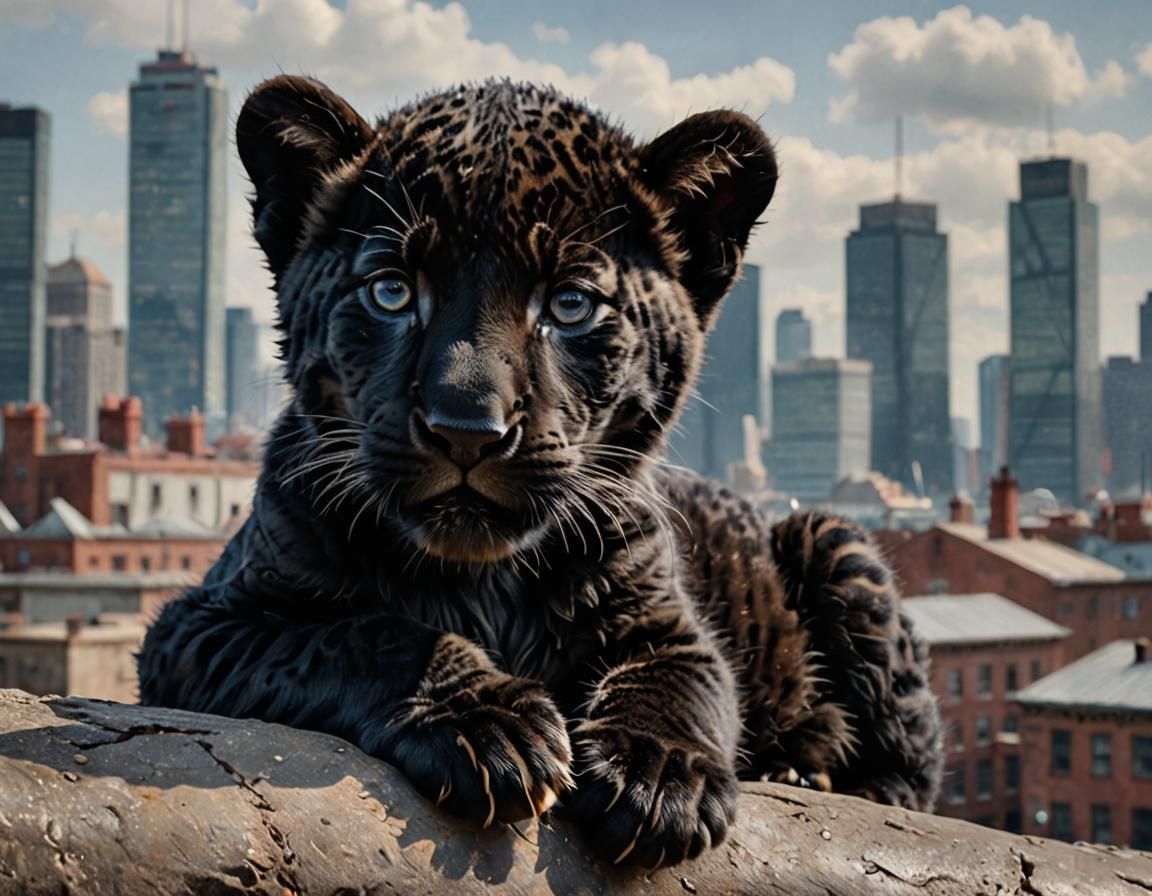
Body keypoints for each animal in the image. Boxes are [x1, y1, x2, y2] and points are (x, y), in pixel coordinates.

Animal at [137, 74, 942, 869]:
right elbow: (362, 633)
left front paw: (655, 775)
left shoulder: (667, 622)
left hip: (832, 539)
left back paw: (807, 769)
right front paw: (485, 721)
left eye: (571, 304)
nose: (467, 430)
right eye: (392, 290)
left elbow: (673, 682)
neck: (485, 581)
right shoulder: (204, 625)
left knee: (908, 775)